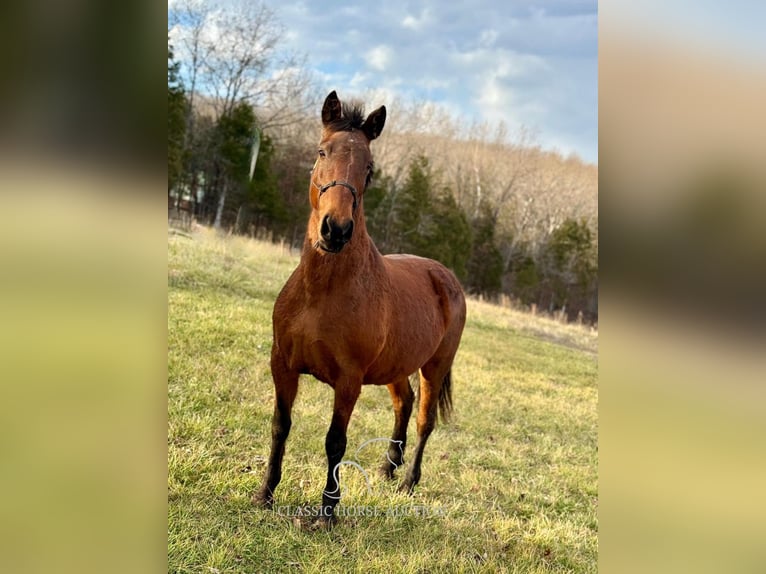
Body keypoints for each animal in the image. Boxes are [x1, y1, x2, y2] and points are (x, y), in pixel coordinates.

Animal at [255, 90, 464, 528]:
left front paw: (327, 512)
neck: (321, 293)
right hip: (397, 367)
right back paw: (388, 467)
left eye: (369, 169)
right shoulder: (282, 365)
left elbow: (336, 442)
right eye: (322, 152)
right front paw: (264, 493)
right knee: (403, 404)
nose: (335, 229)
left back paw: (409, 481)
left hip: (435, 367)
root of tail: (444, 275)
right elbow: (280, 426)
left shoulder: (348, 381)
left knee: (424, 420)